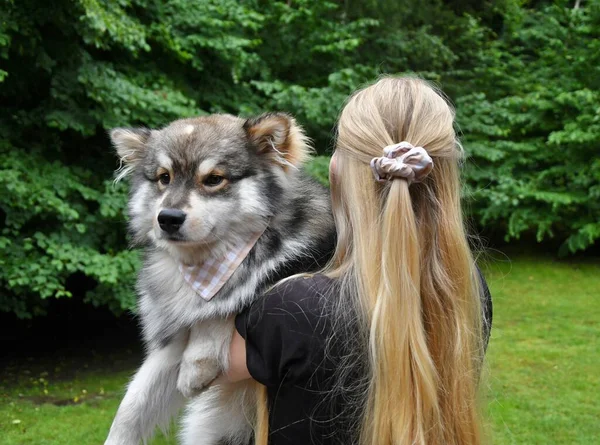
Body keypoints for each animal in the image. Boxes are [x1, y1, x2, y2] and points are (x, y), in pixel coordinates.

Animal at [105, 112, 336, 442]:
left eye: (213, 179)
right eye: (164, 178)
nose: (168, 218)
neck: (204, 263)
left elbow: (225, 305)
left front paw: (197, 363)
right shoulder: (171, 342)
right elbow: (131, 406)